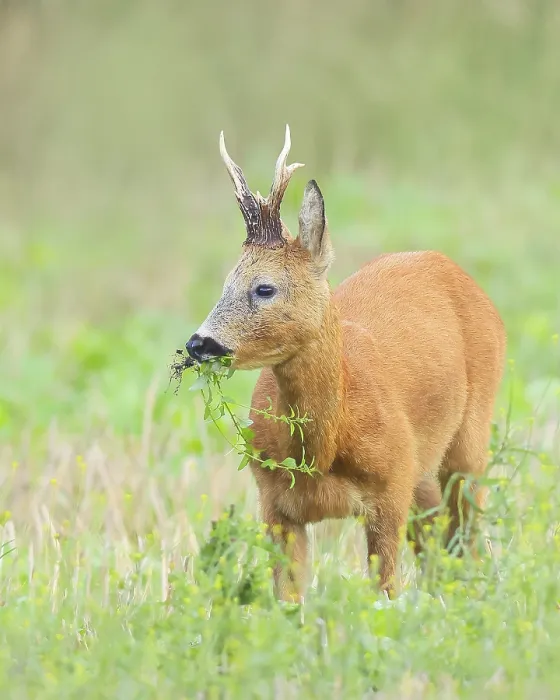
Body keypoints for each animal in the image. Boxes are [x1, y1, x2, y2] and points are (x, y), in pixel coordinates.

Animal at [185, 125, 506, 603]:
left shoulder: (390, 489)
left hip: (471, 433)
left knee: (466, 532)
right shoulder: (274, 503)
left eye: (264, 288)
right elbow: (287, 602)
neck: (323, 450)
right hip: (423, 469)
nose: (199, 343)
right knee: (437, 542)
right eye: (225, 283)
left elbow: (385, 593)